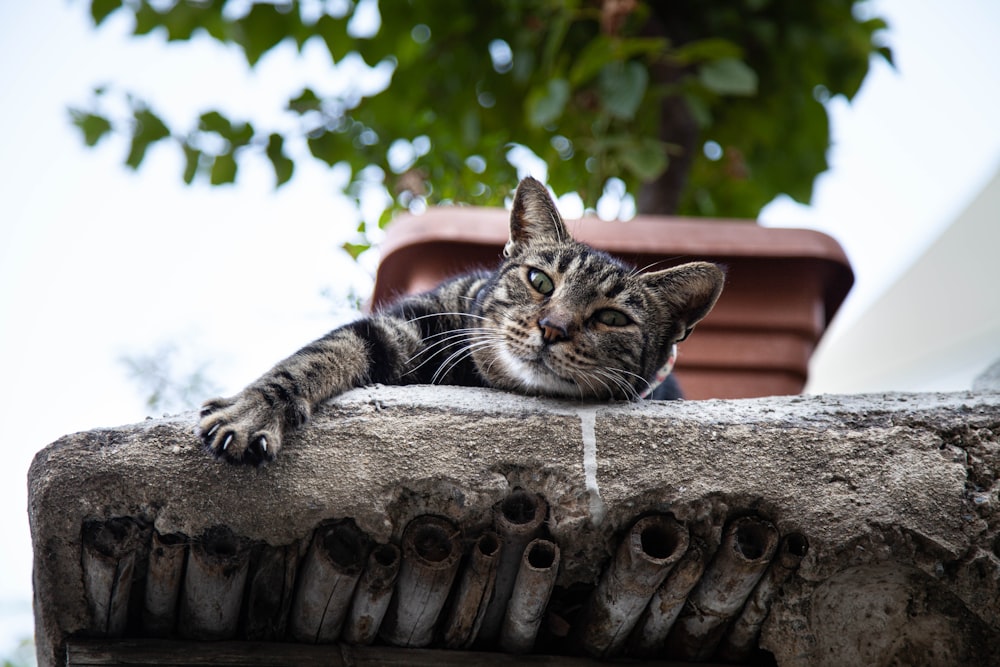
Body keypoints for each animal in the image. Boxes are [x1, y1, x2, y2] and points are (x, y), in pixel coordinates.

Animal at [199, 176, 724, 464]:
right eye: (540, 281)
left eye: (612, 317)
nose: (553, 327)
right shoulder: (403, 324)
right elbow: (320, 354)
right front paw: (255, 410)